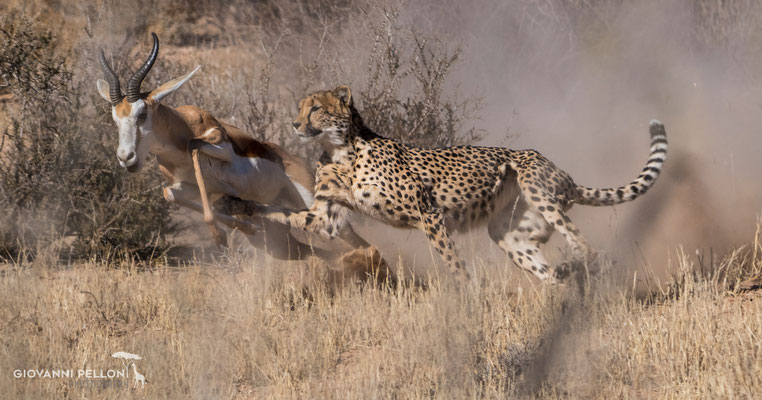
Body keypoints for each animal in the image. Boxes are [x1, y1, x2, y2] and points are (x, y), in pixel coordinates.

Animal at [215, 86, 664, 282]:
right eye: (300, 108)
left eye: (316, 109)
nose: (294, 125)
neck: (341, 150)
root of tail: (565, 174)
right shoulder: (326, 217)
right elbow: (282, 212)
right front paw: (235, 206)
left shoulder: (429, 214)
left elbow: (452, 262)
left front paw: (467, 296)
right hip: (510, 234)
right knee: (549, 269)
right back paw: (561, 287)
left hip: (533, 181)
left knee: (586, 245)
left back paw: (581, 265)